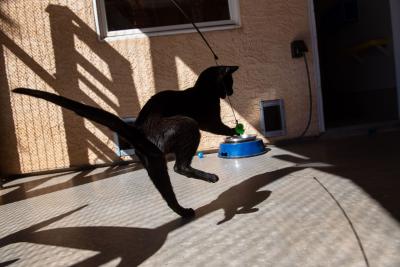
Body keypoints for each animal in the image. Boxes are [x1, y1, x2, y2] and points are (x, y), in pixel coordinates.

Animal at [12, 65, 239, 218]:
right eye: (229, 82)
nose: (232, 92)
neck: (203, 89)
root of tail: (138, 129)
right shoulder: (209, 121)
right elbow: (220, 126)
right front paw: (235, 129)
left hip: (154, 164)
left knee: (169, 189)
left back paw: (183, 212)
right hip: (187, 126)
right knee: (180, 166)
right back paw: (212, 180)